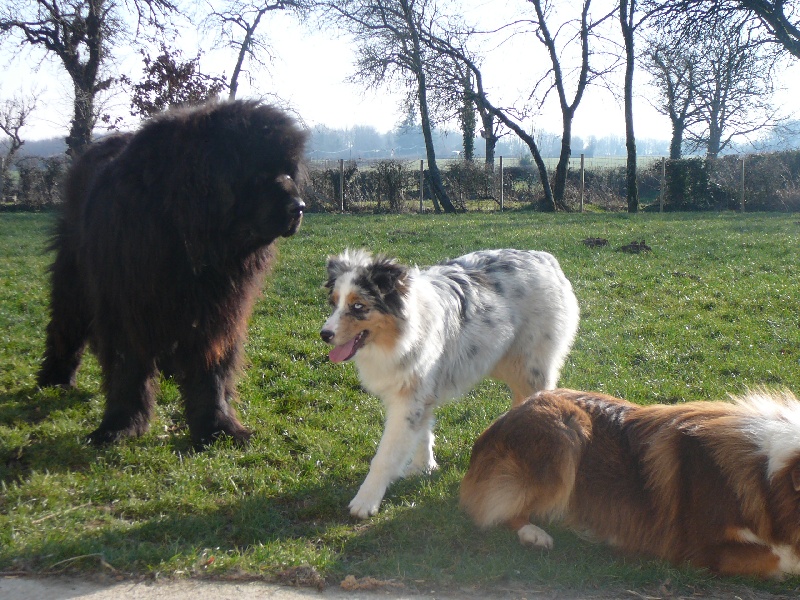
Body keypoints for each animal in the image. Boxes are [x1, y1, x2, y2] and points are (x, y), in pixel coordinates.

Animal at [39, 101, 310, 448]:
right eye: (259, 172)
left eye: (289, 171)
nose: (298, 206)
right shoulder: (126, 307)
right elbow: (127, 368)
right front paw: (120, 425)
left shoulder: (217, 312)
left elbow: (213, 370)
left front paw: (218, 426)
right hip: (74, 276)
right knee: (66, 324)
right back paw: (55, 378)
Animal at [460, 386, 800, 580]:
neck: (765, 476)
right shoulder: (704, 549)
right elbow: (784, 556)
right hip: (564, 435)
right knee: (493, 509)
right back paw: (535, 534)